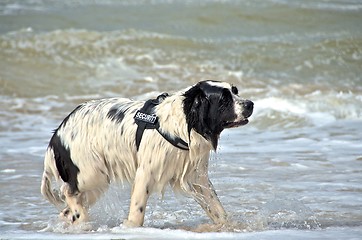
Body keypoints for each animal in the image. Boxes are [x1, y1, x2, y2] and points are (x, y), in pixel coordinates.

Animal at [41, 80, 253, 227]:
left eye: (235, 91)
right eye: (224, 100)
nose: (250, 104)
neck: (181, 124)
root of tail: (56, 135)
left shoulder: (197, 176)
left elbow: (217, 209)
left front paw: (229, 226)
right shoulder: (145, 173)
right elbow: (137, 212)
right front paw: (131, 228)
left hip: (95, 183)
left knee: (67, 209)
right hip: (91, 174)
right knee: (67, 192)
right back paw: (82, 219)